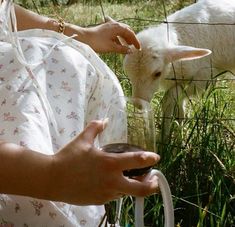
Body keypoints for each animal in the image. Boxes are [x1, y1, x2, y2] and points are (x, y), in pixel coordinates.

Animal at [123, 0, 235, 140]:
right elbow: (179, 111)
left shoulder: (203, 78)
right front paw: (174, 135)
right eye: (128, 73)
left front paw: (167, 137)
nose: (138, 104)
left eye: (157, 73)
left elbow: (169, 99)